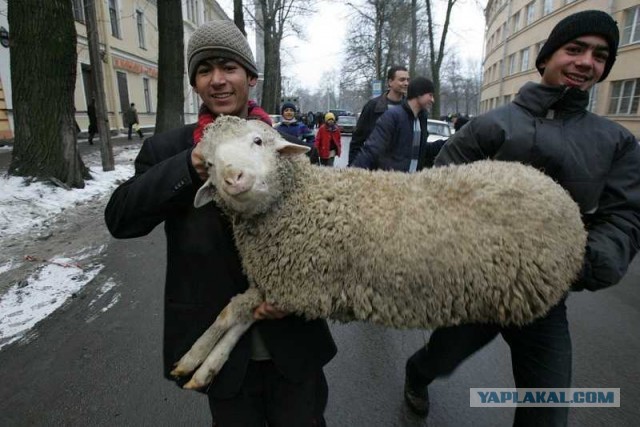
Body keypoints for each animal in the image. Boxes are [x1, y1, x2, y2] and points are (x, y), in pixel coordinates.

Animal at [169, 115, 584, 390]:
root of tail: (558, 190)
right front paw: (204, 367)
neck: (300, 201)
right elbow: (238, 315)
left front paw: (194, 358)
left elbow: (232, 312)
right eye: (208, 163)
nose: (233, 178)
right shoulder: (279, 284)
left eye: (258, 141)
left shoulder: (298, 287)